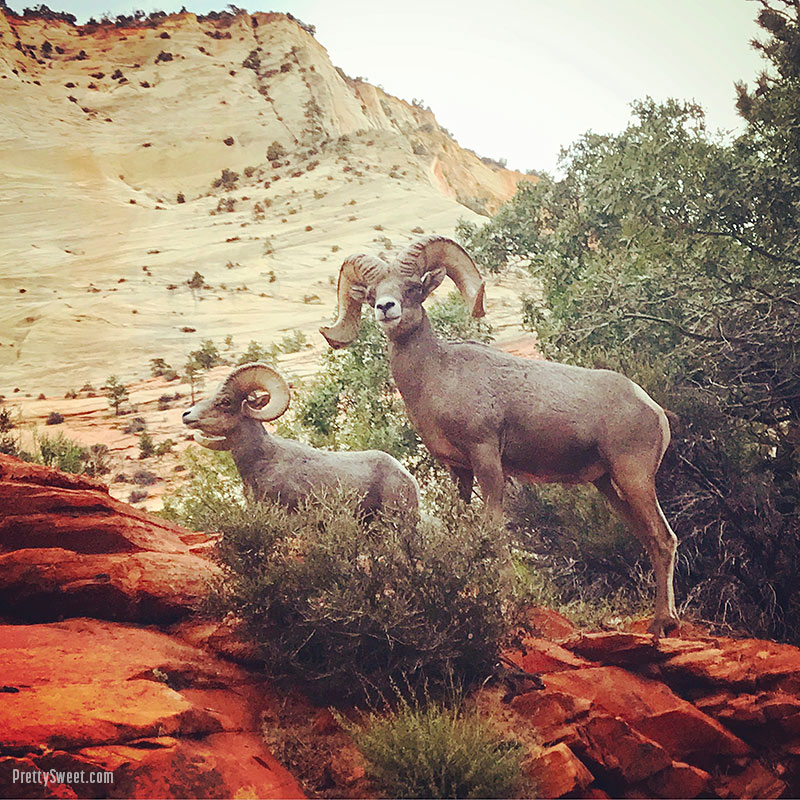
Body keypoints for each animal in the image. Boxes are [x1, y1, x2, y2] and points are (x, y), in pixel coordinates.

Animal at [322, 234, 680, 636]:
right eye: (371, 294)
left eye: (412, 287)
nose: (386, 308)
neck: (436, 377)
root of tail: (653, 409)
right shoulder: (458, 470)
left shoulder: (487, 459)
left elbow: (493, 532)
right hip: (609, 486)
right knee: (649, 539)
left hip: (634, 478)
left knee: (664, 539)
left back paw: (663, 623)